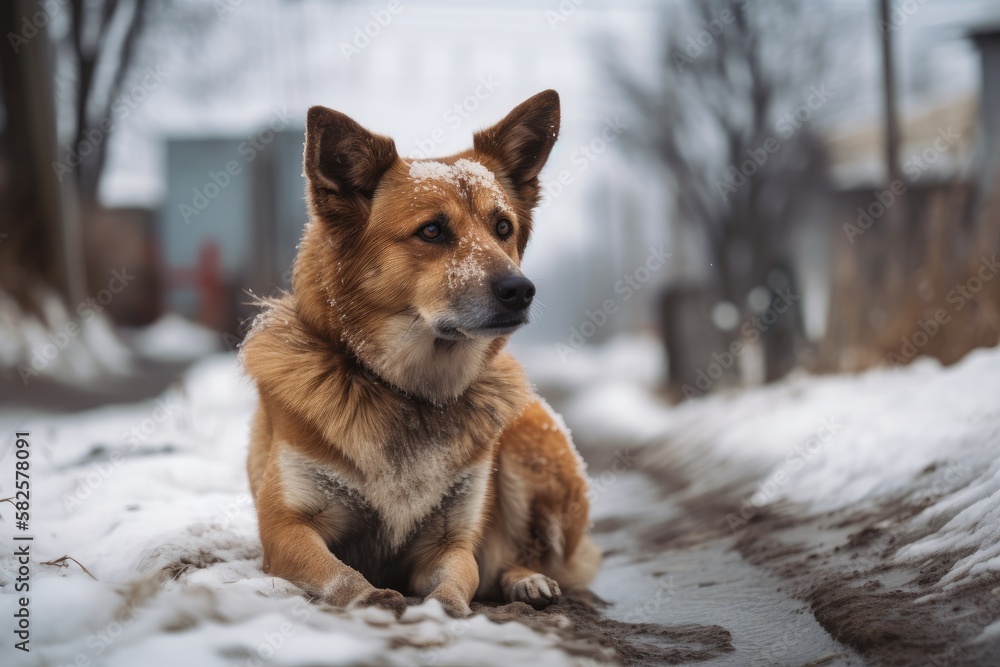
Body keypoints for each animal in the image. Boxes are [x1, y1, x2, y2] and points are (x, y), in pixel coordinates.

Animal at [240, 90, 600, 620]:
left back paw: (528, 580)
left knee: (516, 558)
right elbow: (338, 573)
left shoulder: (450, 541)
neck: (409, 391)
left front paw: (442, 609)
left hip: (533, 444)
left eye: (502, 227)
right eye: (431, 231)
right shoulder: (286, 529)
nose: (521, 290)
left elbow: (459, 578)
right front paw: (370, 596)